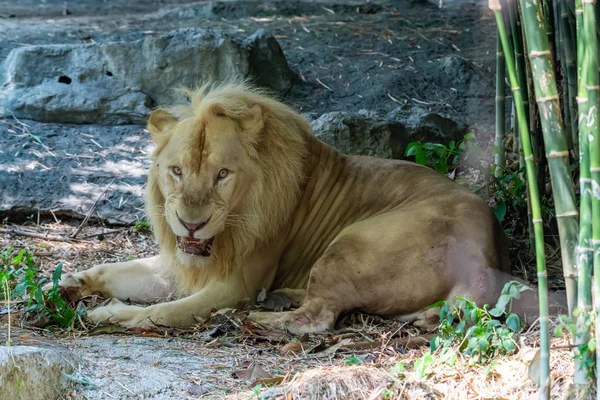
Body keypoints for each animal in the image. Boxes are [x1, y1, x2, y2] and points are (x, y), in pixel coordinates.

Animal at [57, 80, 564, 332]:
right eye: (177, 171)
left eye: (223, 174)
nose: (191, 224)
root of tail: (487, 256)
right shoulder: (183, 261)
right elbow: (117, 271)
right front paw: (71, 283)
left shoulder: (234, 284)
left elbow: (159, 313)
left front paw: (107, 315)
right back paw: (283, 296)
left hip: (352, 241)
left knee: (316, 320)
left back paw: (259, 316)